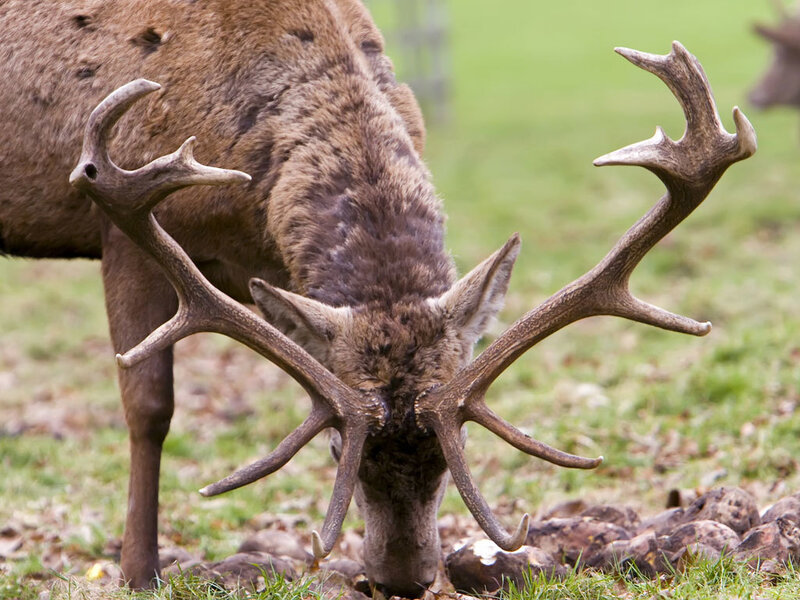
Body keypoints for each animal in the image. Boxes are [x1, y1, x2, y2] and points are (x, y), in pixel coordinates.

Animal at [1, 0, 755, 595]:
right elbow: (149, 403)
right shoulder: (121, 217)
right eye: (339, 449)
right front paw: (140, 572)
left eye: (453, 456)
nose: (401, 582)